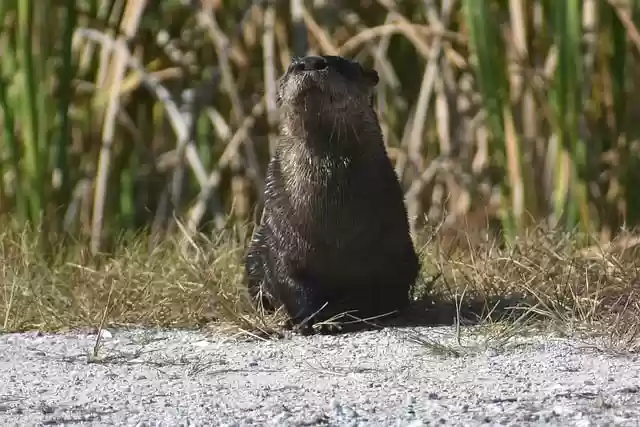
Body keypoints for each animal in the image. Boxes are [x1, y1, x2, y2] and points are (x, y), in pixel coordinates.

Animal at [244, 55, 420, 334]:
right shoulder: (281, 239)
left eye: (342, 64)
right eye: (291, 66)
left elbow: (378, 290)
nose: (309, 63)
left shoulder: (393, 249)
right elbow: (290, 282)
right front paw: (309, 321)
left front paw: (345, 314)